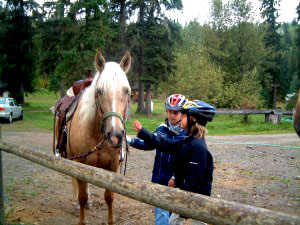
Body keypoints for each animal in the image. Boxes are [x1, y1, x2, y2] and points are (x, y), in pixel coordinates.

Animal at [60, 50, 131, 224]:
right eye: (99, 91)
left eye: (127, 91)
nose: (115, 136)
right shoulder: (80, 164)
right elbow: (82, 196)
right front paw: (81, 219)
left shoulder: (112, 166)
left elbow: (109, 197)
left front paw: (111, 221)